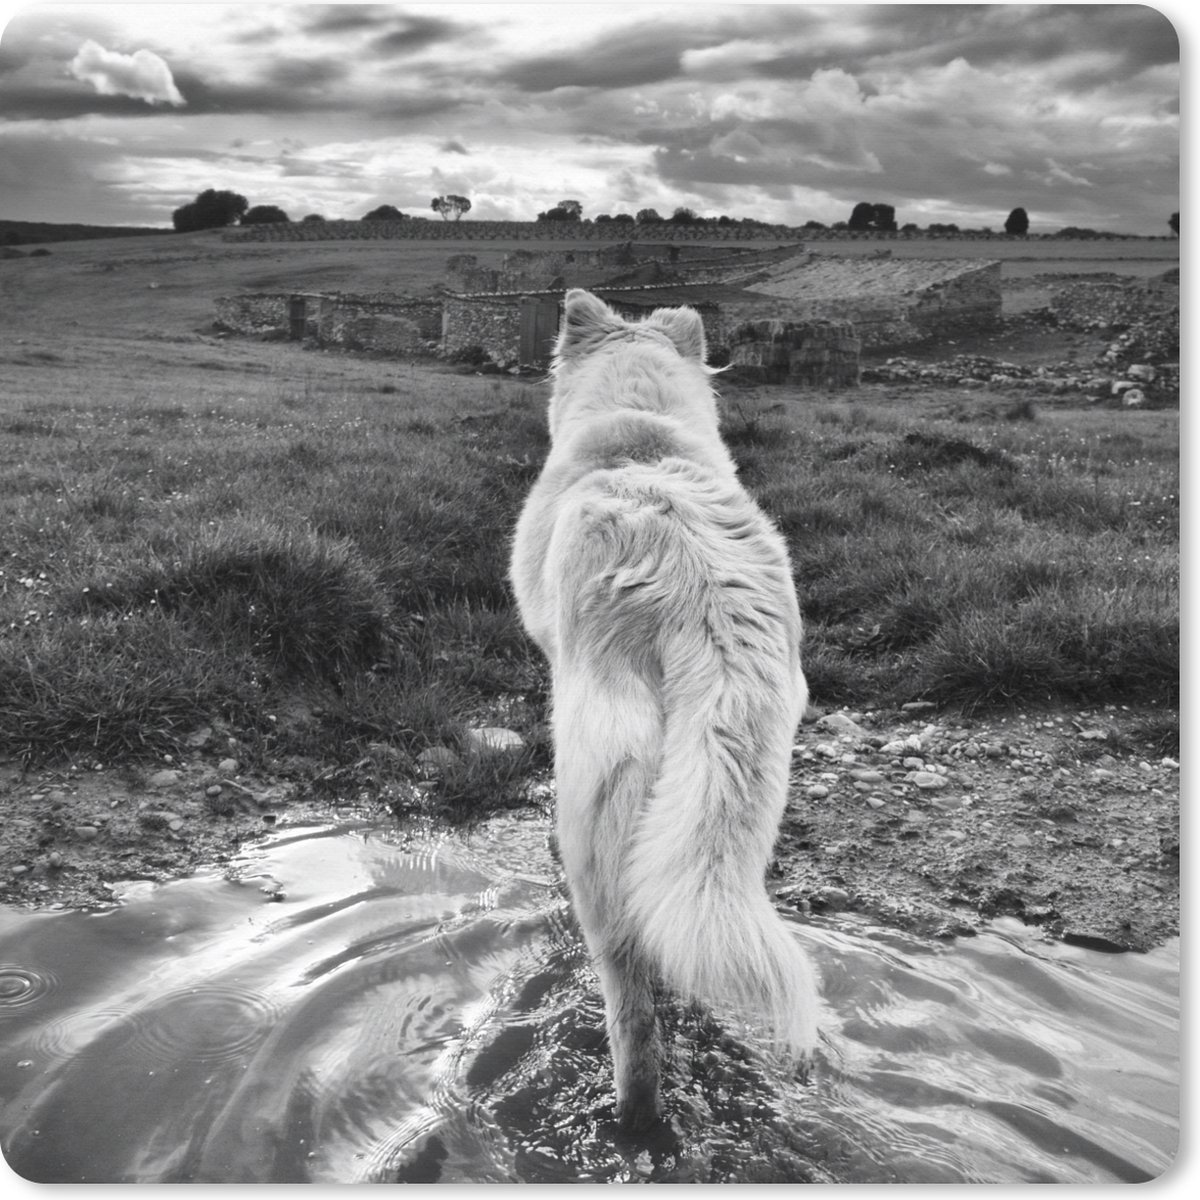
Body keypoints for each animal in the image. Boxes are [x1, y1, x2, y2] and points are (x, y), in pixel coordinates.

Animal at [510, 289, 819, 1132]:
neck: (639, 428)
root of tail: (699, 591)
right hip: (734, 800)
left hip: (601, 800)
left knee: (631, 993)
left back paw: (635, 1119)